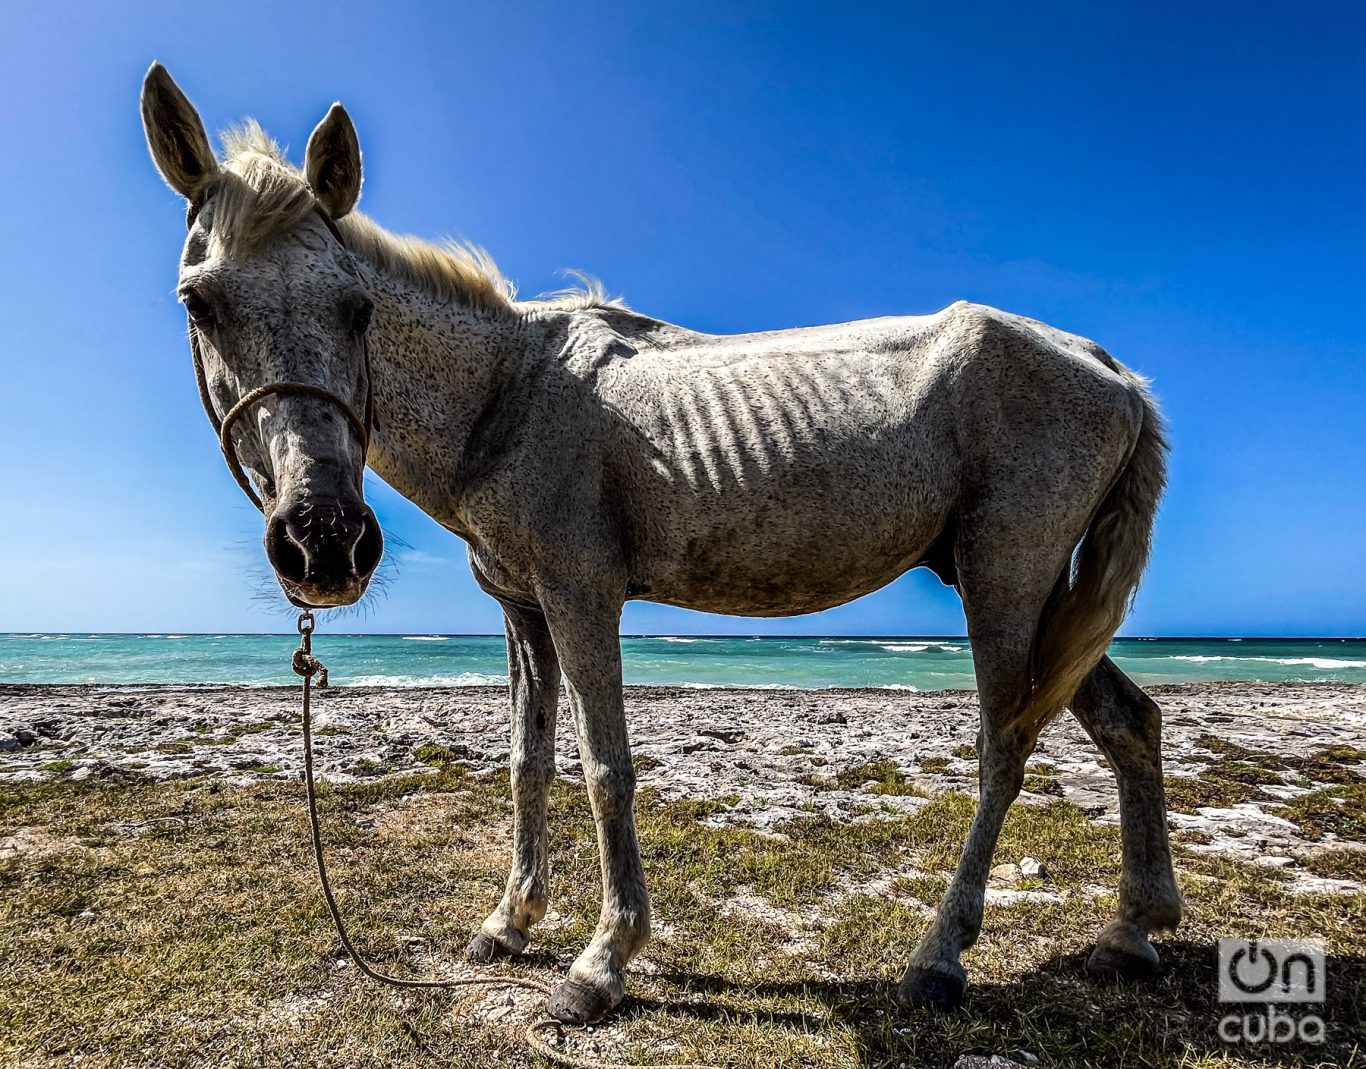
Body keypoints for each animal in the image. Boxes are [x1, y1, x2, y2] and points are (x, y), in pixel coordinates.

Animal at [141, 60, 1185, 1026]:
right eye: (199, 303)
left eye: (357, 306)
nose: (325, 541)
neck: (509, 393)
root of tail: (1111, 369)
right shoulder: (523, 609)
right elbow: (527, 761)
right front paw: (509, 921)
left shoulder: (581, 596)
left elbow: (607, 769)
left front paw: (602, 961)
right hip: (1040, 600)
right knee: (1129, 722)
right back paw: (1131, 928)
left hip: (1005, 582)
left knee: (1005, 745)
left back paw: (940, 955)